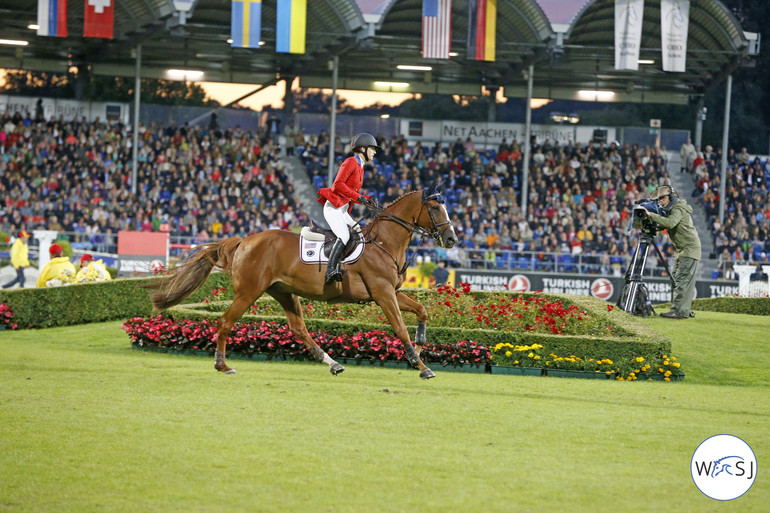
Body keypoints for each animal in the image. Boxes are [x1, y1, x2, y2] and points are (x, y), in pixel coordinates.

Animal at [147, 184, 452, 376]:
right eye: (436, 209)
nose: (451, 239)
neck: (384, 242)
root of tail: (245, 239)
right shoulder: (382, 293)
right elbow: (399, 327)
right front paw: (421, 366)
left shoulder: (392, 291)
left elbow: (421, 311)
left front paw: (420, 346)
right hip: (249, 292)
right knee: (224, 322)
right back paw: (222, 365)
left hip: (284, 292)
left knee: (299, 329)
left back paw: (332, 363)